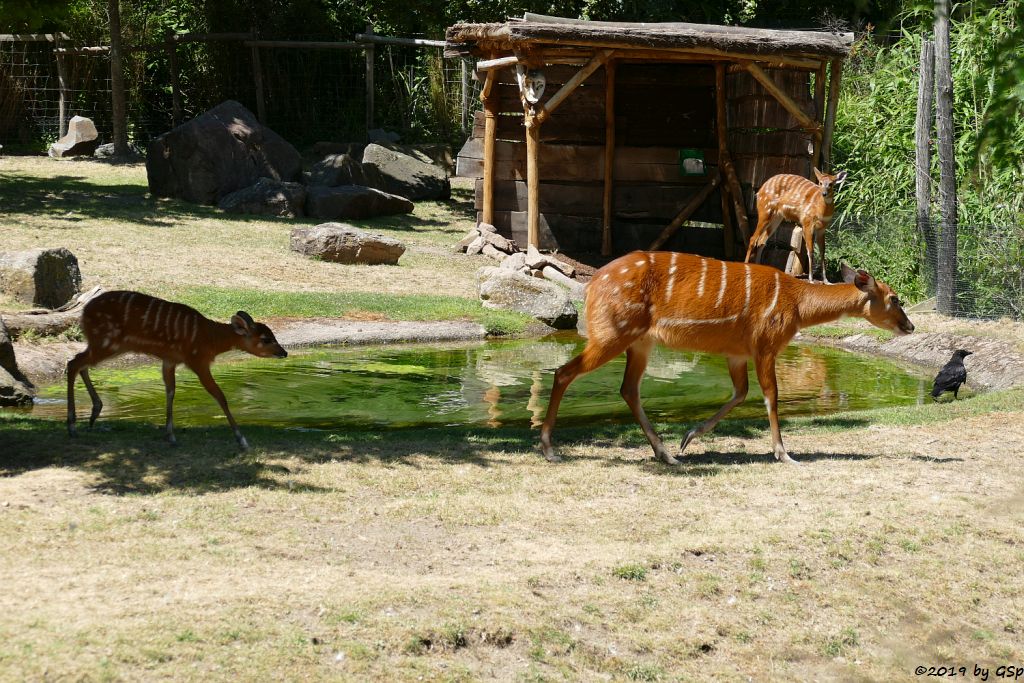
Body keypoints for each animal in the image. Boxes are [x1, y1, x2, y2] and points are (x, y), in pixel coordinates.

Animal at [67, 290, 288, 450]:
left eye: (273, 335)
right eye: (266, 339)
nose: (284, 352)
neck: (211, 338)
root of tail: (84, 312)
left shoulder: (170, 360)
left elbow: (170, 390)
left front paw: (170, 435)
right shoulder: (197, 361)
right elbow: (219, 395)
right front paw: (242, 439)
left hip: (110, 346)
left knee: (80, 363)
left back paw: (94, 413)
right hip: (107, 343)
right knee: (74, 363)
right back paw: (72, 425)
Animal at [540, 253, 917, 466]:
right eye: (895, 299)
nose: (910, 326)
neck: (797, 305)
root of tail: (591, 286)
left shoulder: (737, 353)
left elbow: (740, 393)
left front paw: (688, 437)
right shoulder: (766, 344)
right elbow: (771, 396)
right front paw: (785, 454)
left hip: (640, 342)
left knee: (628, 389)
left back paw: (668, 455)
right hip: (613, 333)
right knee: (563, 372)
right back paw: (549, 450)